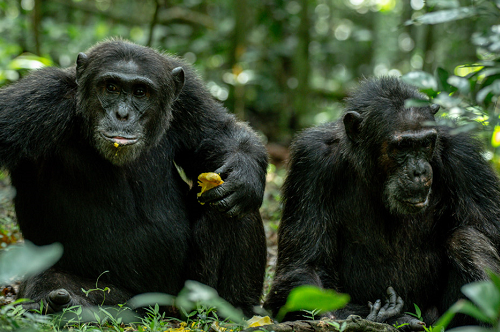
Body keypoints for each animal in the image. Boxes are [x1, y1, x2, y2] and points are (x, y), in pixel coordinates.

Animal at [0, 38, 270, 316]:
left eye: (141, 92)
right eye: (111, 87)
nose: (122, 114)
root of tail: (164, 306)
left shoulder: (190, 96)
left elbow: (218, 132)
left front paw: (245, 175)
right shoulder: (40, 97)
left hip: (190, 288)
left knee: (235, 209)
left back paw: (236, 307)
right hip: (125, 298)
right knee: (51, 279)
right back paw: (62, 303)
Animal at [264, 75, 498, 328]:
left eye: (426, 143)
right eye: (402, 146)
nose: (419, 171)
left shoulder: (465, 157)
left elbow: (490, 232)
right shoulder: (310, 161)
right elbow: (304, 266)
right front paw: (387, 316)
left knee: (467, 239)